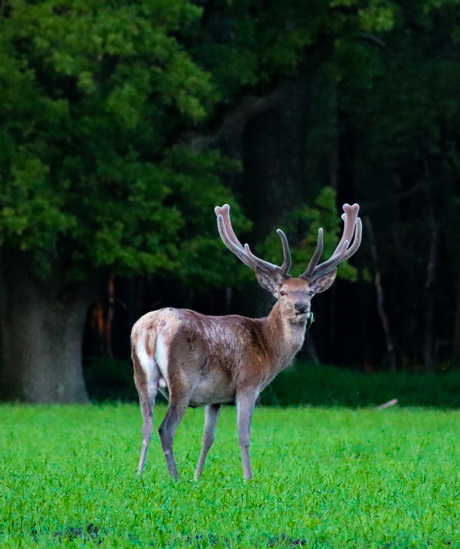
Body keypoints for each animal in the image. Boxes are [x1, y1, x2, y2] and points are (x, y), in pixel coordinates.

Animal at [131, 202, 362, 480]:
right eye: (282, 292)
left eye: (310, 292)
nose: (301, 307)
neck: (269, 349)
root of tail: (152, 327)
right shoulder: (248, 384)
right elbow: (244, 435)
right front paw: (248, 477)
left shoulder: (215, 398)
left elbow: (207, 438)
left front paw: (197, 477)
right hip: (183, 379)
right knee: (165, 428)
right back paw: (174, 478)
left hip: (141, 375)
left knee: (145, 424)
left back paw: (139, 474)